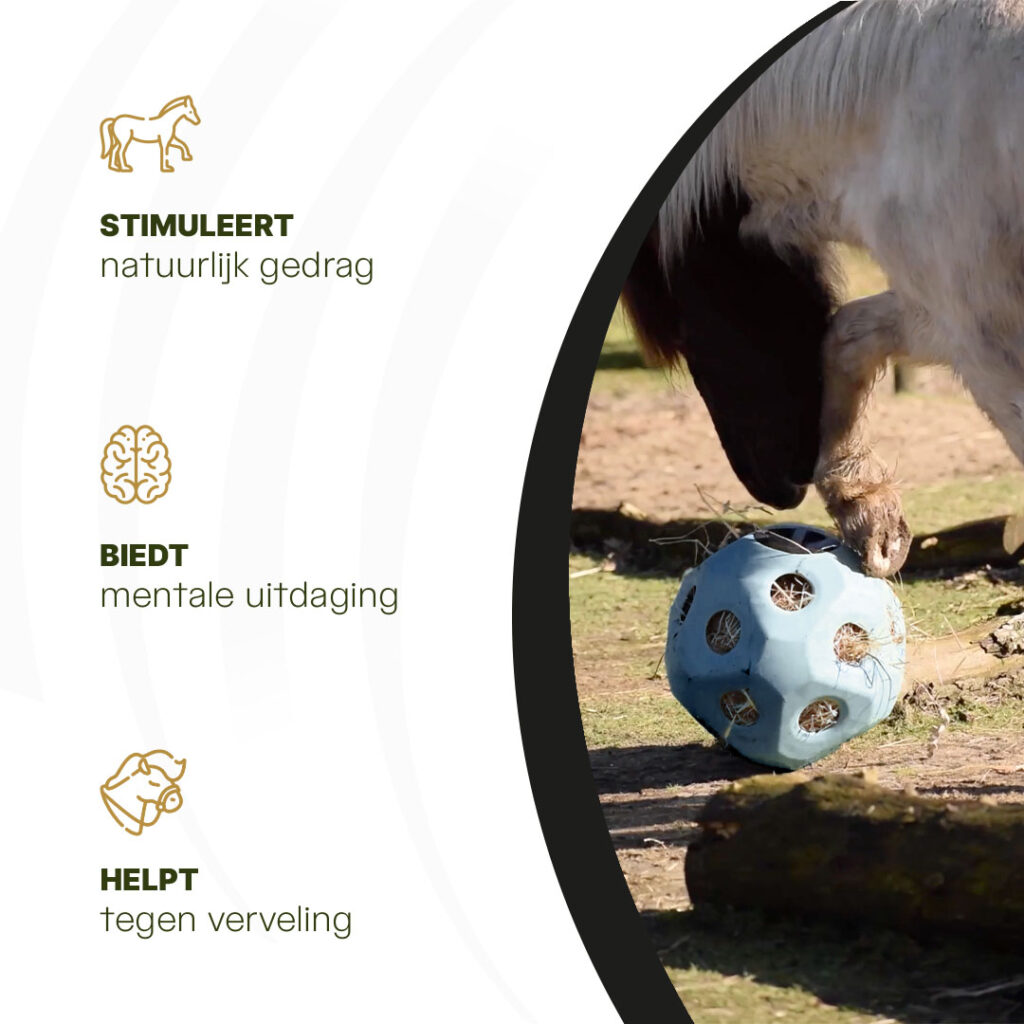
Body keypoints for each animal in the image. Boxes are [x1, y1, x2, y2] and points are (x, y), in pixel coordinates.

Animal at [622, 0, 1024, 578]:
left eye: (683, 328)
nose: (778, 487)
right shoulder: (942, 307)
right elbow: (847, 336)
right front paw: (866, 509)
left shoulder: (984, 331)